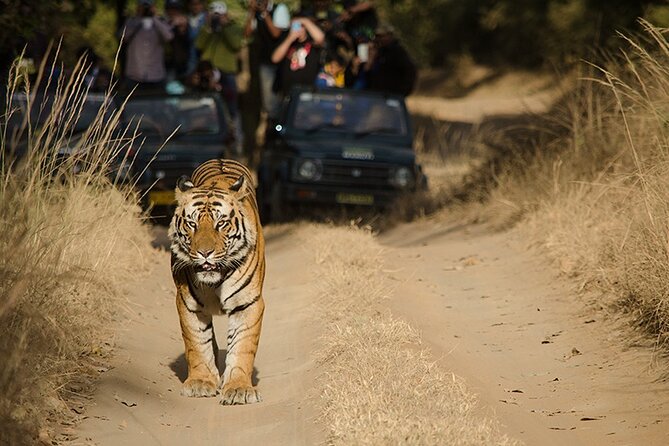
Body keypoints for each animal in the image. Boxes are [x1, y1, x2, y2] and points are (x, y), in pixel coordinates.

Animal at [168, 159, 265, 405]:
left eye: (221, 223)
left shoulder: (248, 303)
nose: (205, 253)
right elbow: (197, 344)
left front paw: (239, 389)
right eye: (192, 224)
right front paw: (201, 382)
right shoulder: (188, 304)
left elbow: (242, 346)